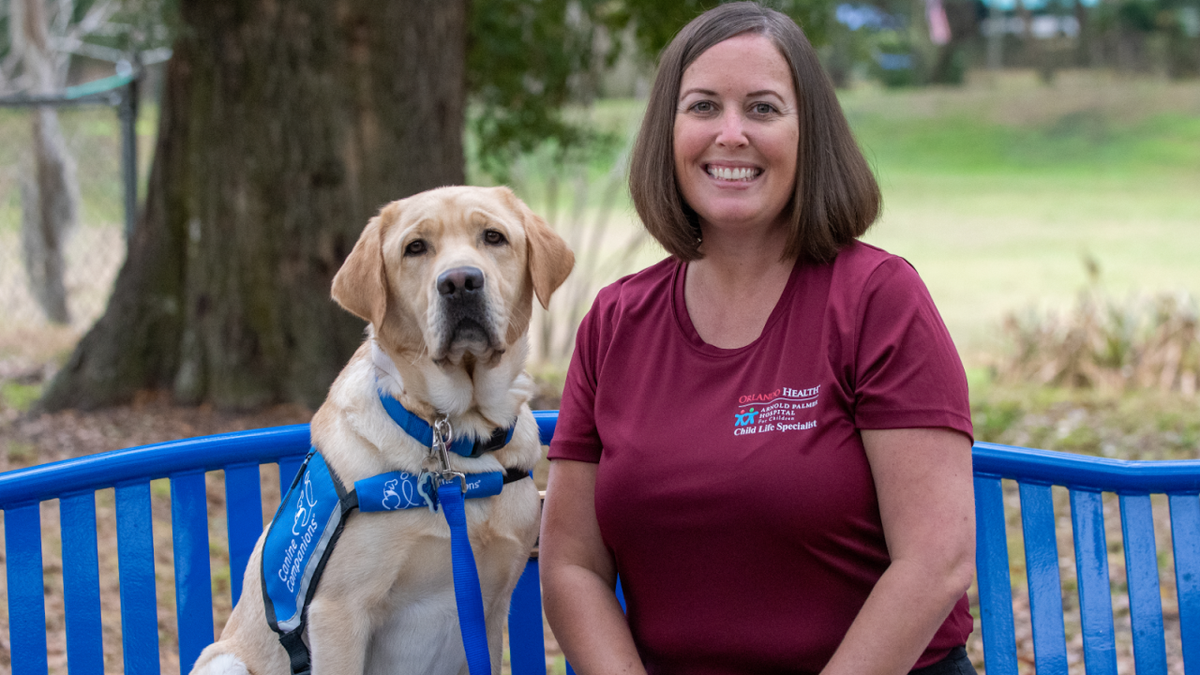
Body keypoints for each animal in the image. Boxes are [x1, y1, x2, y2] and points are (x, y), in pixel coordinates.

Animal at [190, 186, 571, 672]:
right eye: (415, 247)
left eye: (493, 236)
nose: (460, 282)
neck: (457, 439)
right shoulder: (338, 611)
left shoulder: (489, 608)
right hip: (226, 660)